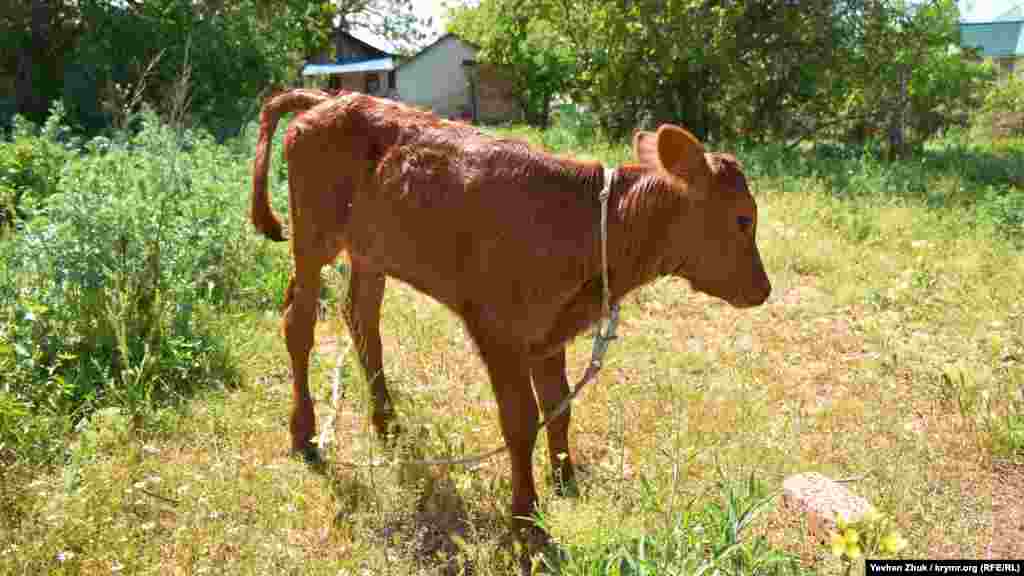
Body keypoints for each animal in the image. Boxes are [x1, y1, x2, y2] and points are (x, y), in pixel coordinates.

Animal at [251, 88, 770, 524]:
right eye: (743, 219)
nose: (763, 289)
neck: (591, 225)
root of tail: (331, 98)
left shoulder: (549, 331)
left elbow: (558, 406)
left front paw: (566, 482)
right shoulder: (496, 329)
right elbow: (520, 422)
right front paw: (525, 513)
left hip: (370, 252)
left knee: (362, 319)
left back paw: (387, 423)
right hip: (313, 237)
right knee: (298, 324)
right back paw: (305, 436)